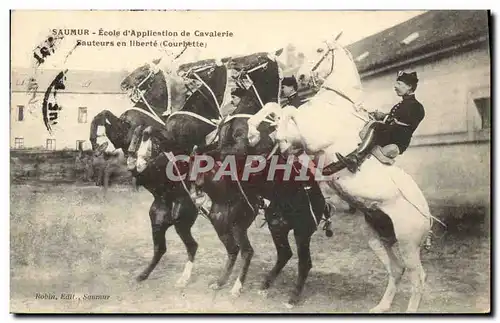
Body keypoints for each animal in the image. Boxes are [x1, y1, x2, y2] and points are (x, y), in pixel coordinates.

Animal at [90, 58, 229, 286]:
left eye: (142, 71)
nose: (124, 84)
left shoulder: (129, 133)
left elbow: (137, 130)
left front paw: (137, 156)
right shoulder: (119, 131)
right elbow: (102, 116)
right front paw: (96, 142)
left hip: (181, 220)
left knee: (191, 246)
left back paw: (182, 279)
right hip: (157, 221)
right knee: (161, 248)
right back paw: (143, 275)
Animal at [250, 37, 438, 314]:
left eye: (320, 49)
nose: (302, 77)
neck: (335, 104)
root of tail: (428, 215)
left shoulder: (311, 138)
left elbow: (287, 113)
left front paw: (267, 134)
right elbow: (274, 108)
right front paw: (255, 131)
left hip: (408, 243)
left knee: (418, 278)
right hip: (377, 237)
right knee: (396, 270)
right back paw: (381, 307)